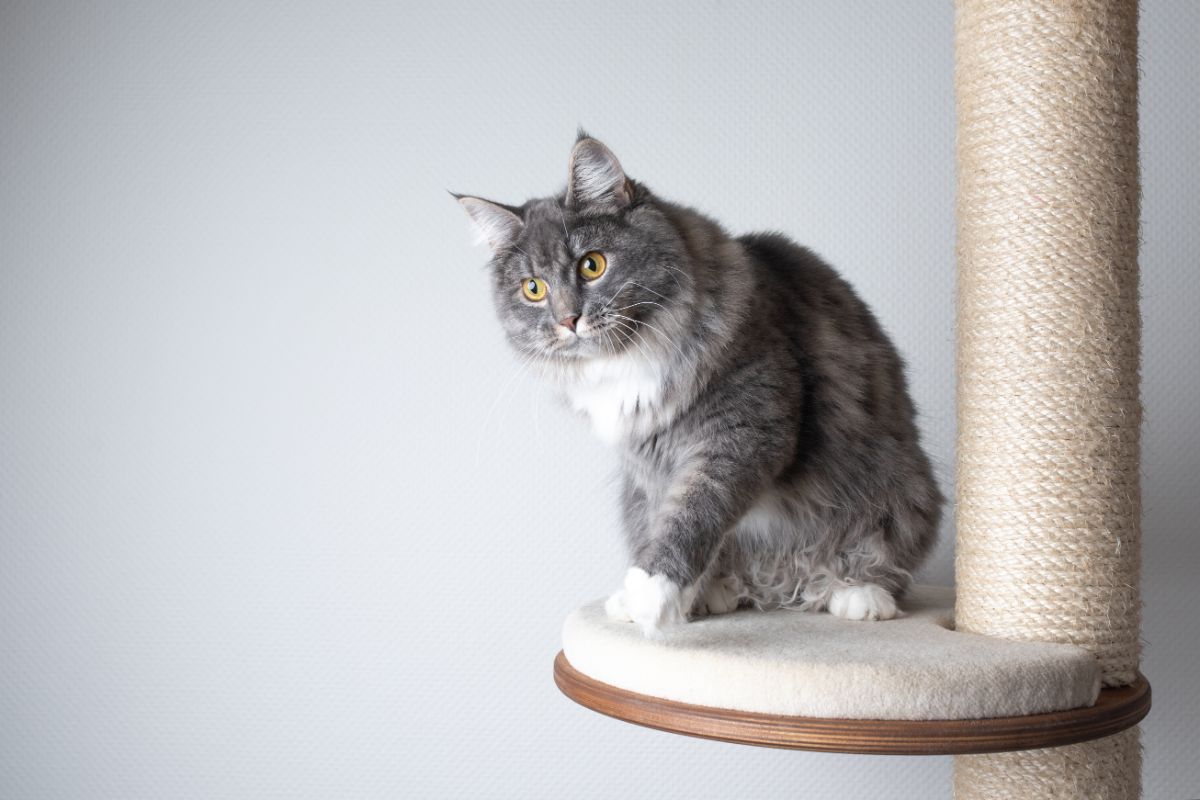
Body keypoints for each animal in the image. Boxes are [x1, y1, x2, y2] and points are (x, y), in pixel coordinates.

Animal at [453, 134, 940, 642]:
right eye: (533, 289)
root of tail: (779, 585)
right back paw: (717, 593)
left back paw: (857, 596)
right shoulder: (648, 466)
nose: (569, 320)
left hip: (900, 495)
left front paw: (654, 593)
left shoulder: (744, 429)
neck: (628, 361)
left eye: (592, 265)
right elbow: (664, 519)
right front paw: (664, 599)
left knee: (879, 565)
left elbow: (693, 512)